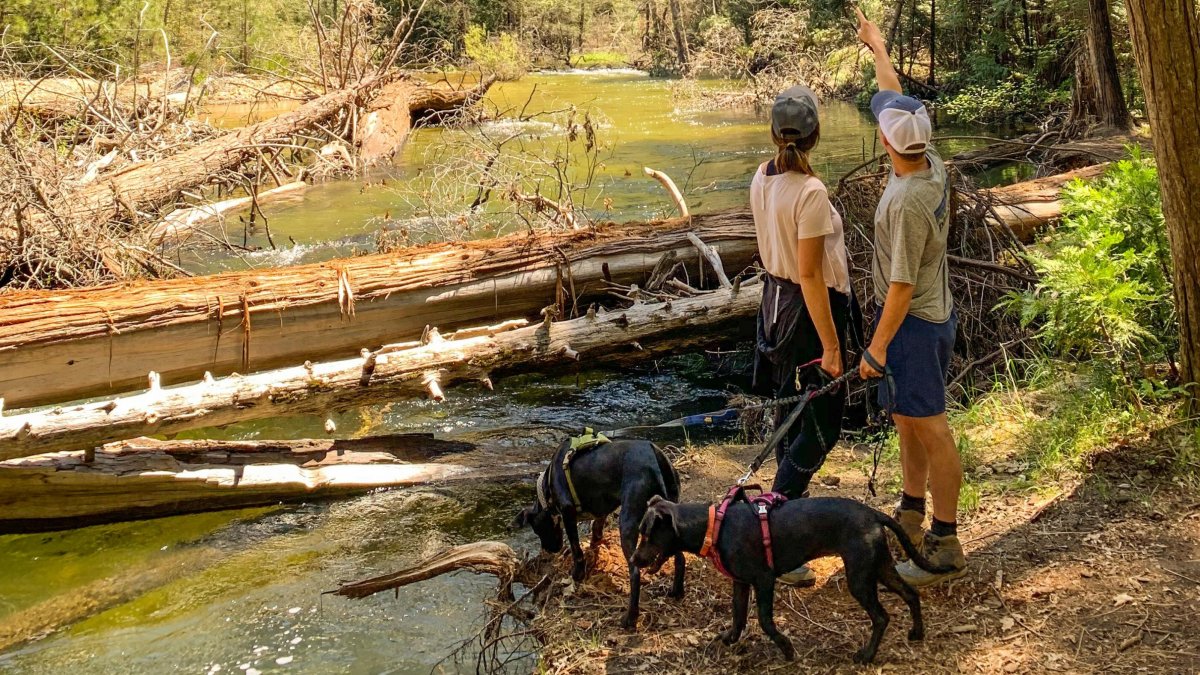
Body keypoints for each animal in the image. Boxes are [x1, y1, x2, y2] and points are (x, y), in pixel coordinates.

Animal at [513, 427, 691, 629]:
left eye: (537, 530)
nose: (549, 550)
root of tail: (653, 457)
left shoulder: (567, 511)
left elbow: (576, 548)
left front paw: (577, 574)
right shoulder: (602, 510)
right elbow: (596, 531)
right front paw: (594, 550)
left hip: (627, 522)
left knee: (635, 573)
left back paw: (630, 618)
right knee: (680, 558)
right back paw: (676, 591)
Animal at [628, 485, 955, 658]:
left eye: (647, 534)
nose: (633, 558)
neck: (713, 527)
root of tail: (875, 514)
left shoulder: (764, 580)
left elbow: (764, 621)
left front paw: (786, 648)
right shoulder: (741, 583)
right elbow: (737, 616)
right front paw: (729, 639)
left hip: (860, 576)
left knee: (882, 616)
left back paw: (866, 655)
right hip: (880, 566)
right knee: (911, 594)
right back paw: (916, 633)